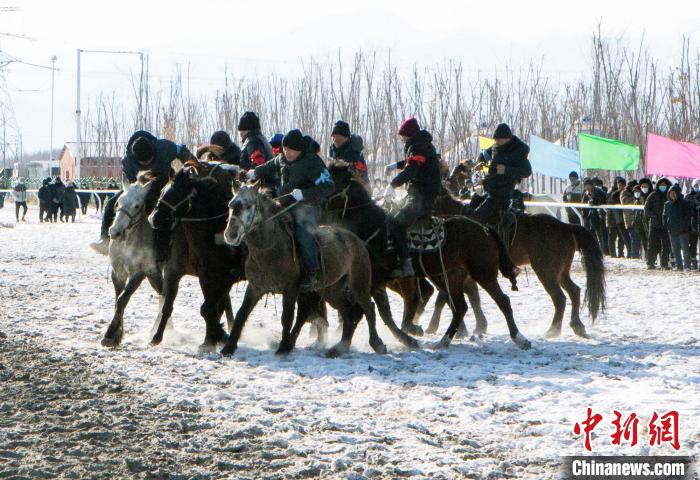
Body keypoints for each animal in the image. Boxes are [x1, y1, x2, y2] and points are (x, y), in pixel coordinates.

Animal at [221, 186, 382, 358]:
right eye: (230, 205)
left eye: (248, 206)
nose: (231, 234)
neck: (270, 248)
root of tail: (356, 240)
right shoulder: (255, 288)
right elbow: (241, 314)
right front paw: (228, 347)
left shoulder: (290, 289)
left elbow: (287, 317)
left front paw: (284, 347)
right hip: (331, 289)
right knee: (348, 312)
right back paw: (340, 347)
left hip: (359, 284)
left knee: (368, 308)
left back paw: (376, 343)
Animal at [324, 163, 532, 350]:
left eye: (330, 179)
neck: (371, 225)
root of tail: (485, 229)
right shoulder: (376, 280)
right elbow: (381, 311)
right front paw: (403, 338)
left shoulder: (373, 279)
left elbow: (365, 309)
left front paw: (350, 343)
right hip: (450, 276)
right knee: (459, 306)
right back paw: (444, 340)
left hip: (483, 273)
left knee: (501, 301)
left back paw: (520, 339)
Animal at [430, 191, 604, 338]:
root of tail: (566, 226)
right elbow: (471, 297)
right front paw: (478, 326)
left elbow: (447, 297)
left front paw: (442, 327)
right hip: (561, 272)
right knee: (574, 291)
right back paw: (577, 325)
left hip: (546, 271)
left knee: (560, 298)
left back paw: (553, 330)